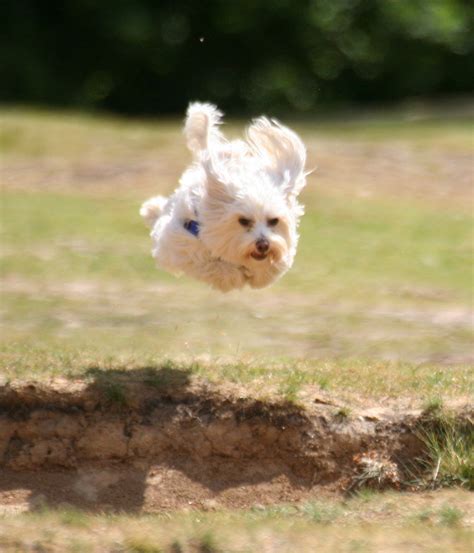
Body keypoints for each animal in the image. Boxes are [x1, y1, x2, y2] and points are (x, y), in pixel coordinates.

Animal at [140, 104, 312, 294]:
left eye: (274, 221)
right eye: (243, 221)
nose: (263, 245)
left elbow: (273, 267)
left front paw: (258, 272)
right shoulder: (177, 242)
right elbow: (209, 264)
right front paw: (230, 276)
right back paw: (150, 209)